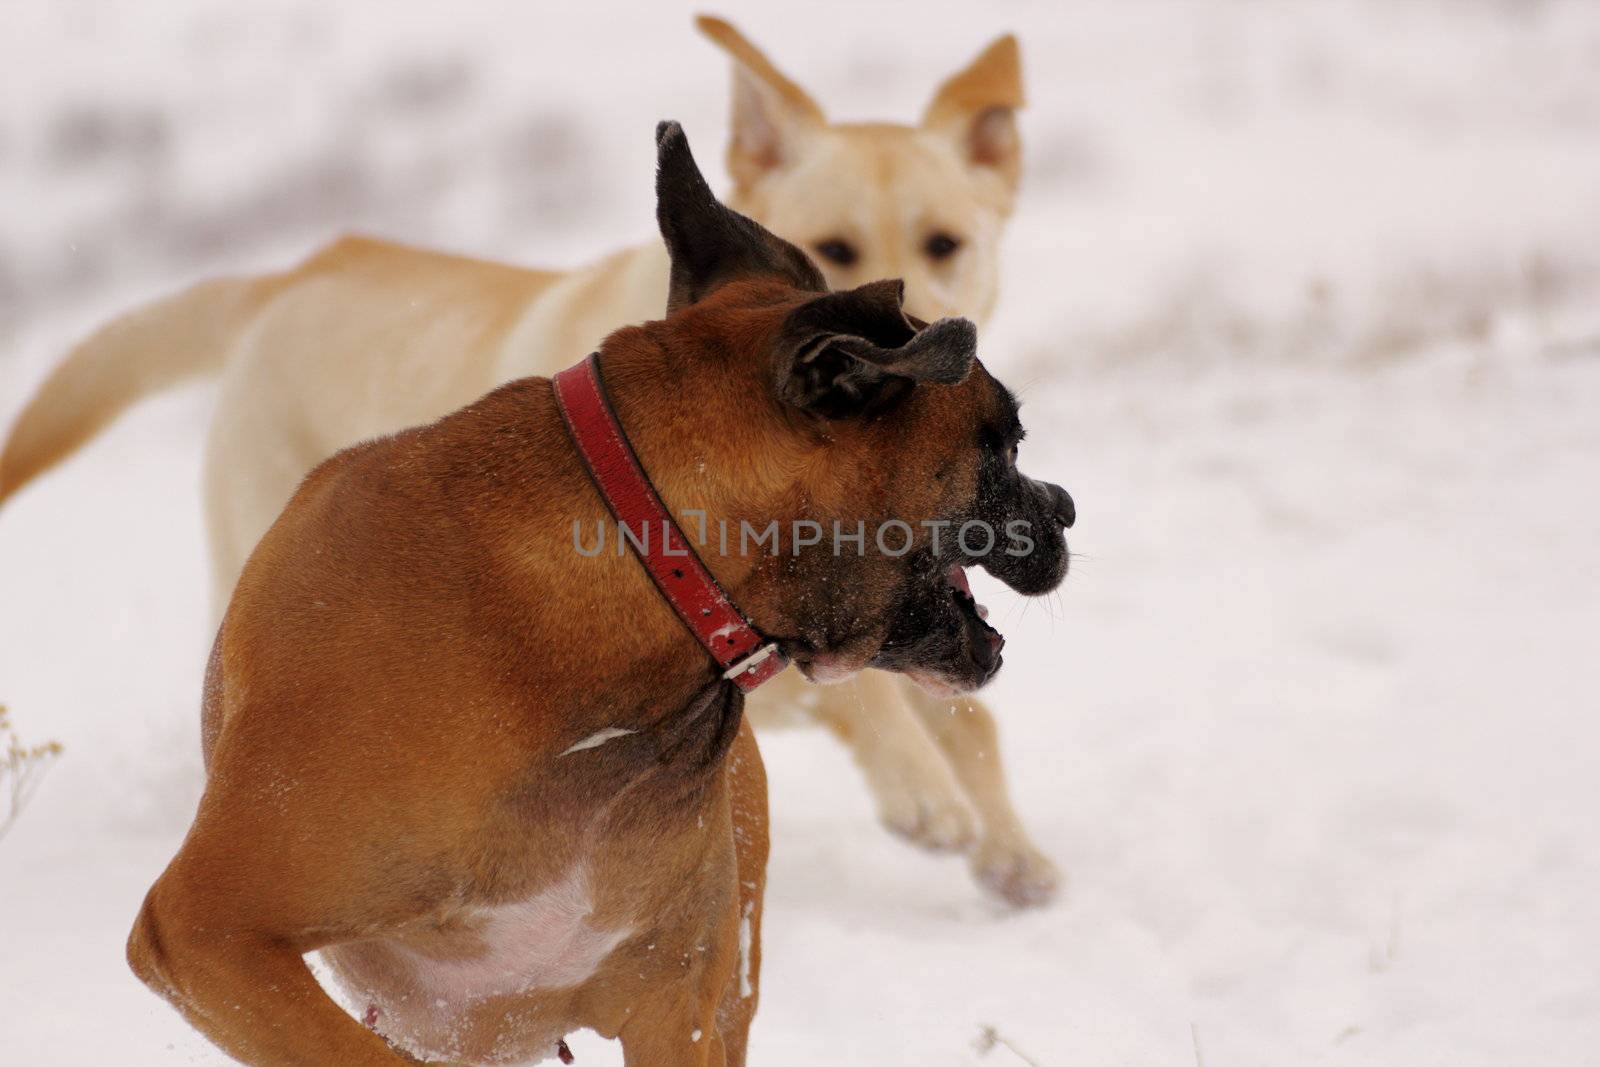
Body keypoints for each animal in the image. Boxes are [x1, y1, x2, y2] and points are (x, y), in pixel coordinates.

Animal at [3, 16, 1062, 908]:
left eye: (947, 243)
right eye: (834, 245)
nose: (934, 335)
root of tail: (296, 273)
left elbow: (963, 712)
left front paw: (1010, 842)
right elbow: (869, 695)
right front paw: (924, 790)